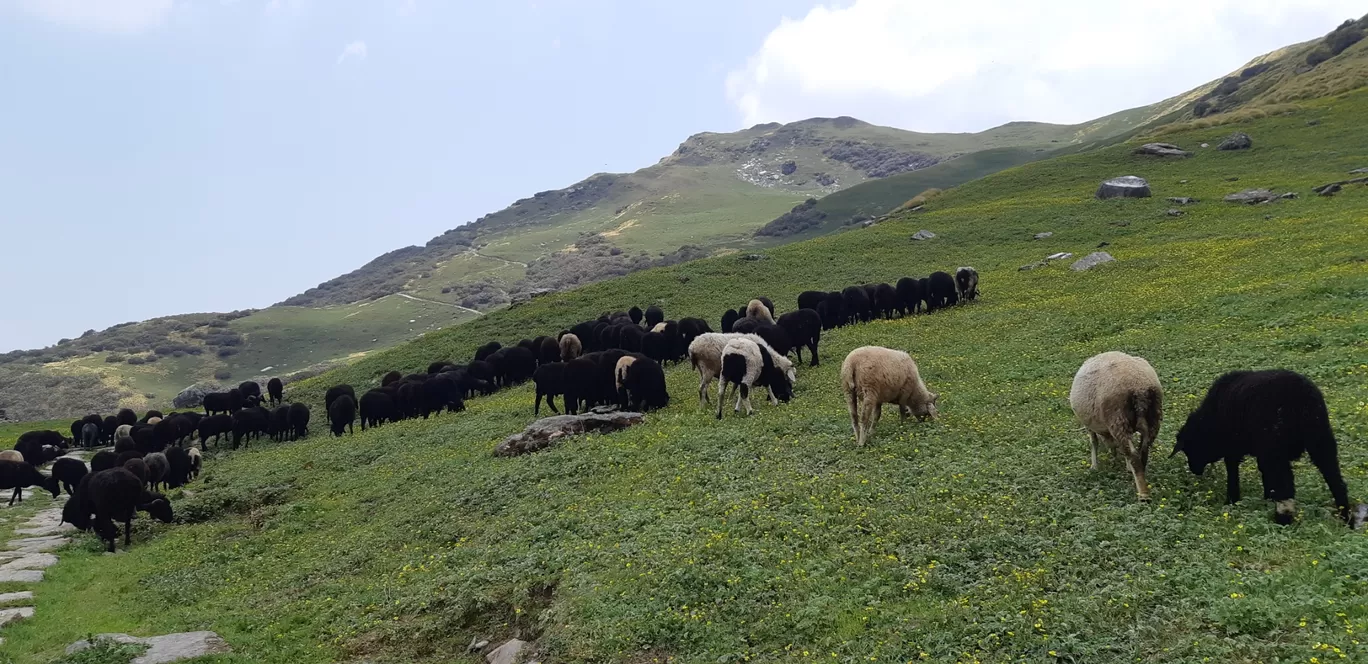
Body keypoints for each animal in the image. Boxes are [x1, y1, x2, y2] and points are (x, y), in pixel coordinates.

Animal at [1067, 349, 1165, 498]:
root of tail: (1139, 387)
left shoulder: (1089, 426)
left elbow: (1093, 443)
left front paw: (1094, 467)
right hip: (1154, 416)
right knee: (1142, 452)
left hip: (1117, 419)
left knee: (1133, 455)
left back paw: (1143, 495)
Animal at [1171, 366, 1351, 522]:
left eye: (1190, 449)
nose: (1195, 470)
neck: (1210, 420)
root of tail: (1302, 396)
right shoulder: (1260, 452)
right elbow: (1265, 474)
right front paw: (1267, 498)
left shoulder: (1235, 449)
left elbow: (1233, 473)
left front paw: (1232, 500)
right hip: (1321, 439)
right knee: (1337, 482)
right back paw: (1346, 518)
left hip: (1276, 447)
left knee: (1286, 486)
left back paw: (1283, 519)